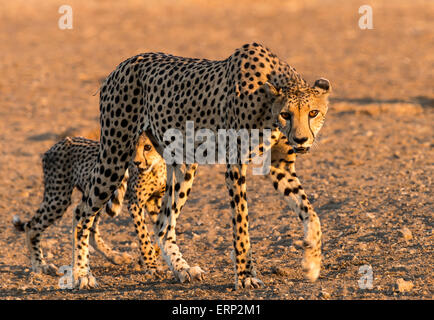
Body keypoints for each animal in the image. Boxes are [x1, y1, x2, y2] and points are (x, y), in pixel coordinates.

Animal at [13, 134, 166, 276]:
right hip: (60, 197)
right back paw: (41, 266)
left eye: (147, 147)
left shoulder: (155, 201)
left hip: (95, 195)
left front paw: (154, 256)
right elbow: (144, 235)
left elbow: (164, 230)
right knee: (32, 226)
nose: (136, 163)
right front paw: (151, 265)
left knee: (84, 221)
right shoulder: (135, 204)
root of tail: (60, 142)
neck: (157, 166)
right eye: (131, 147)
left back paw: (113, 257)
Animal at [72, 42, 328, 290]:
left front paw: (312, 262)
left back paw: (182, 269)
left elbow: (310, 212)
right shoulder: (235, 167)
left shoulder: (280, 166)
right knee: (81, 212)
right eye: (286, 114)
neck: (268, 107)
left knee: (163, 224)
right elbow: (241, 224)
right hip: (115, 154)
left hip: (183, 165)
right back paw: (81, 274)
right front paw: (245, 276)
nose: (301, 140)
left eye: (313, 112)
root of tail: (123, 64)